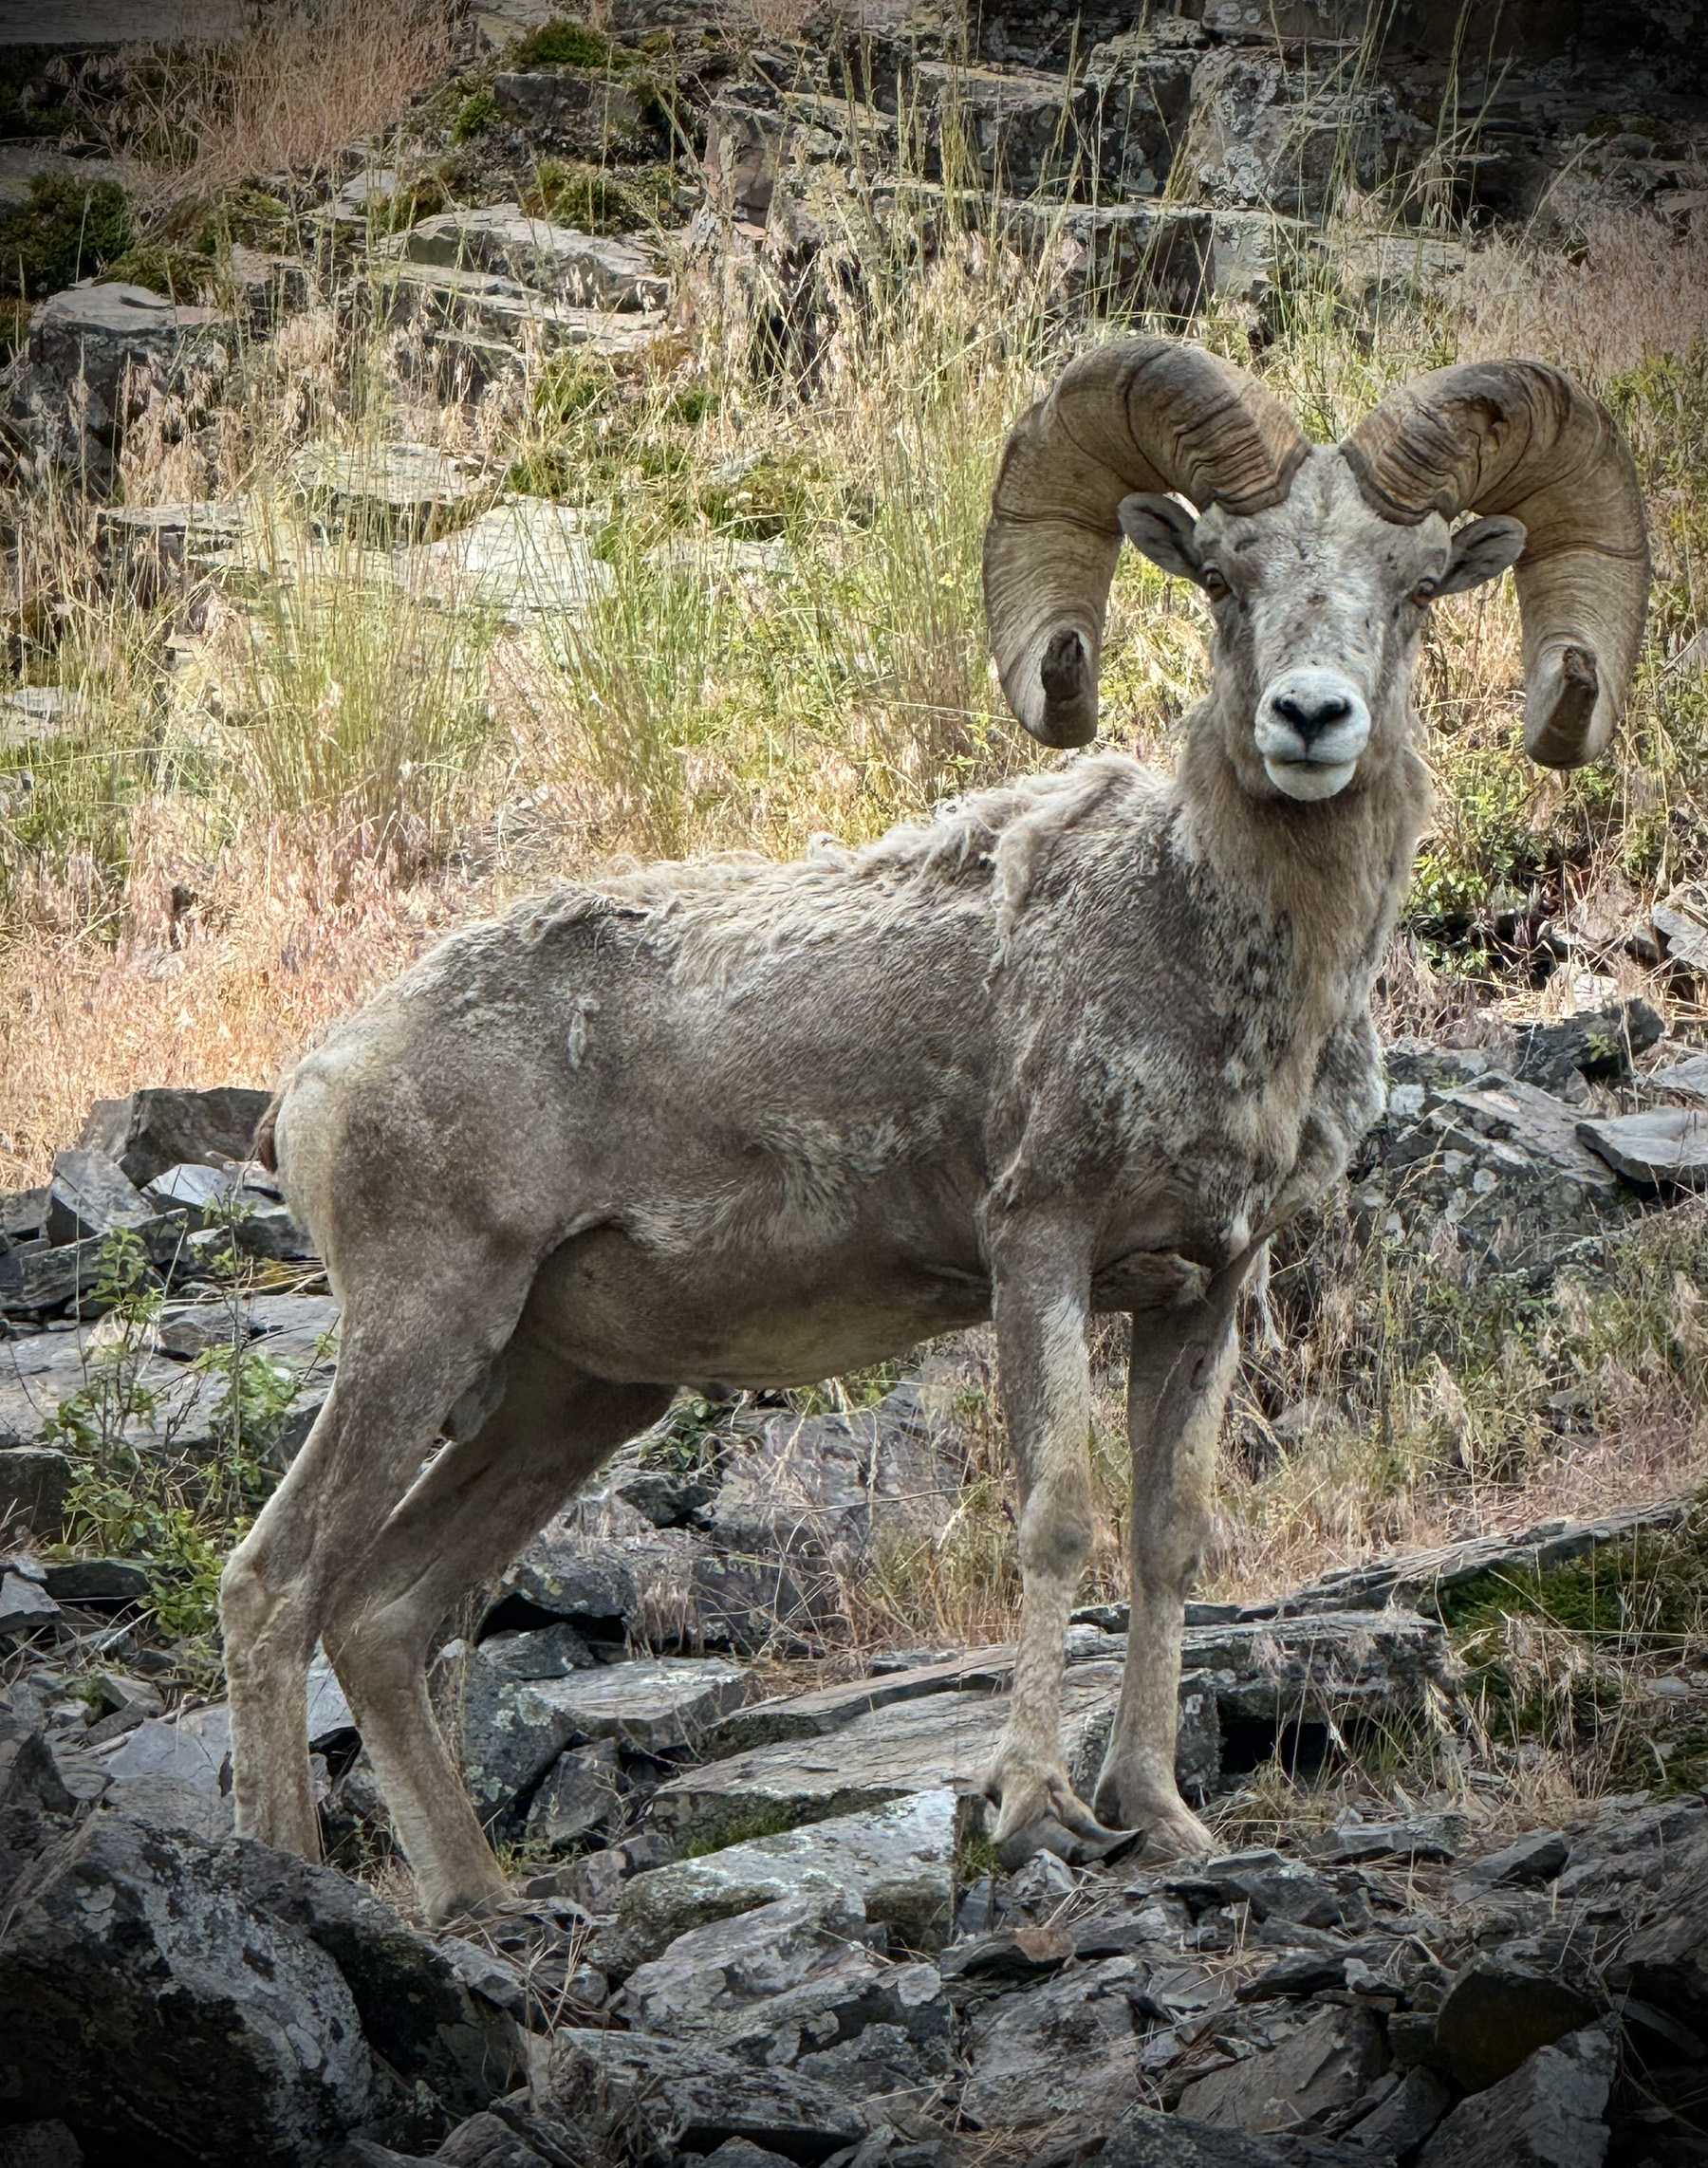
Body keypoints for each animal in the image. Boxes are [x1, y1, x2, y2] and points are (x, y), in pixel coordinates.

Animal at [222, 338, 1648, 1925]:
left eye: (1412, 587)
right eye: (1226, 575)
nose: (1311, 721)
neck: (1209, 957)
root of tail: (319, 1078)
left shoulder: (1207, 1287)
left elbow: (1165, 1540)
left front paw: (1161, 1818)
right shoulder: (1041, 1247)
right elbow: (1058, 1516)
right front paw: (1032, 1814)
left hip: (570, 1392)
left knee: (389, 1613)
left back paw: (486, 1901)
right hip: (425, 1323)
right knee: (276, 1586)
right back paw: (284, 1874)